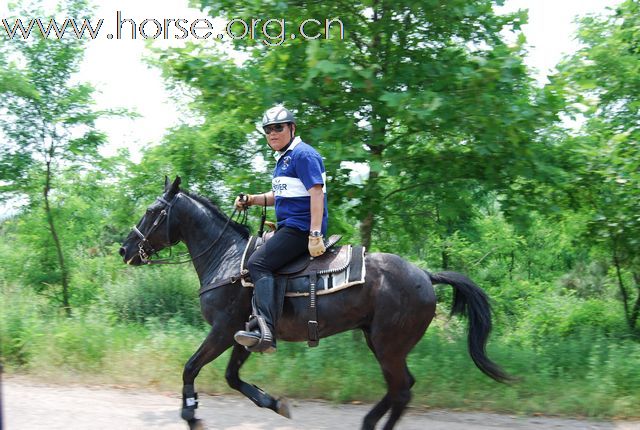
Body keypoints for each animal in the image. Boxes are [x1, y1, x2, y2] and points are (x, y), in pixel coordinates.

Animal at [120, 176, 510, 430]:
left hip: (388, 346)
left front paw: (191, 415)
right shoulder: (245, 334)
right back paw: (368, 422)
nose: (125, 249)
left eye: (152, 211)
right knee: (402, 387)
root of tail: (426, 275)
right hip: (382, 343)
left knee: (401, 391)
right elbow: (232, 377)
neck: (228, 260)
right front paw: (275, 403)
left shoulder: (223, 329)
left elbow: (190, 368)